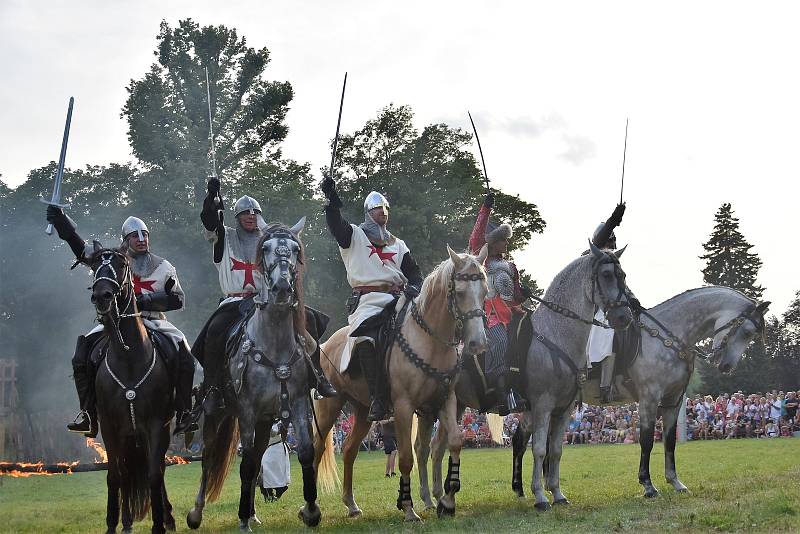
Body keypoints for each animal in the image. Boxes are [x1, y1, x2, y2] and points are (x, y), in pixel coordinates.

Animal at [86, 246, 176, 534]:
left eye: (121, 264)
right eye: (95, 266)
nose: (102, 297)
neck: (129, 359)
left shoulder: (157, 425)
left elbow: (154, 474)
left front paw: (159, 524)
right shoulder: (110, 427)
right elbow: (115, 475)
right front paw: (112, 525)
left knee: (157, 470)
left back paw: (167, 517)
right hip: (127, 436)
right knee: (126, 473)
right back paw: (125, 521)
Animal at [187, 220, 322, 532]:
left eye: (295, 249)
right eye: (267, 249)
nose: (283, 288)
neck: (274, 340)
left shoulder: (297, 403)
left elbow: (305, 452)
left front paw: (311, 511)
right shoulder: (247, 410)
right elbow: (246, 464)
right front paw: (241, 521)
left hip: (264, 420)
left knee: (259, 455)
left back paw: (252, 513)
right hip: (217, 413)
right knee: (209, 457)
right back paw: (197, 512)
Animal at [312, 247, 488, 524]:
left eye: (484, 292)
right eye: (460, 293)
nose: (477, 343)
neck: (430, 341)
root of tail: (327, 344)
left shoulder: (445, 401)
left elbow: (455, 442)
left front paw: (447, 502)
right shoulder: (404, 407)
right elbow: (406, 458)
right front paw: (408, 508)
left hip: (363, 411)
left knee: (349, 450)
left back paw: (351, 504)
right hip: (329, 408)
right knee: (317, 449)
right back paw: (309, 507)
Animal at [510, 243, 636, 510]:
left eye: (623, 275)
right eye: (606, 275)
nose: (624, 317)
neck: (556, 335)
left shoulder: (563, 410)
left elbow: (556, 450)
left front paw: (557, 493)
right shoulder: (542, 406)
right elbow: (539, 449)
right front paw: (540, 496)